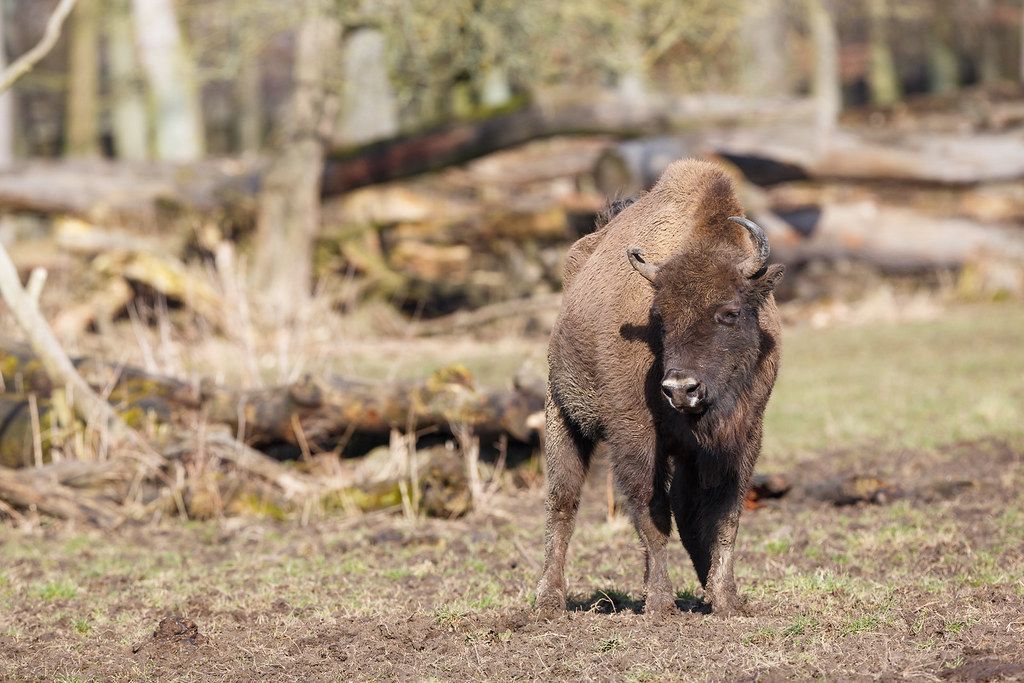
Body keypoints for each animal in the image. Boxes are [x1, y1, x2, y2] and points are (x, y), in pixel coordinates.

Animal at [536, 160, 782, 618]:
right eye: (660, 317)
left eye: (730, 312)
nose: (681, 388)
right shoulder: (636, 435)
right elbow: (652, 513)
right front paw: (661, 603)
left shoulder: (742, 437)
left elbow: (725, 516)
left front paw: (727, 600)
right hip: (561, 415)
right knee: (562, 502)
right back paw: (548, 600)